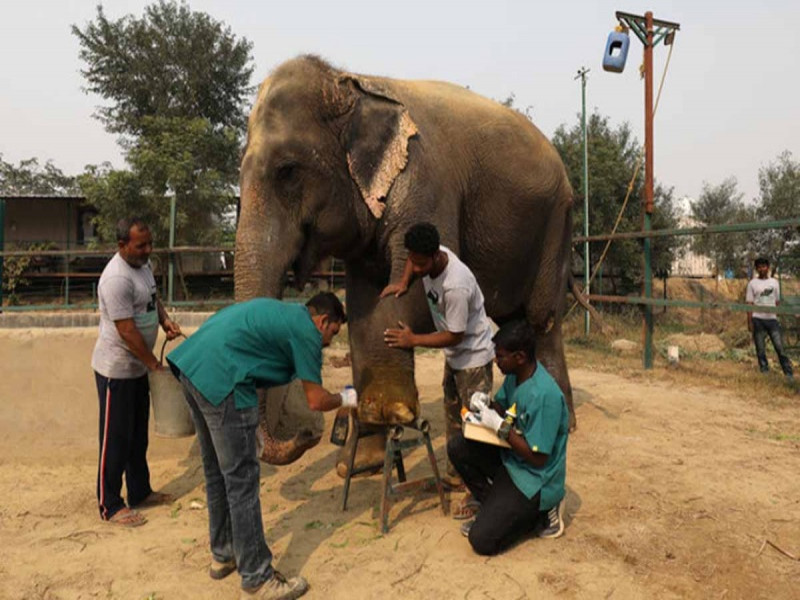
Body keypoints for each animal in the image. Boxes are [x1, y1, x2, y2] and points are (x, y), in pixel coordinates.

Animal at [234, 56, 580, 466]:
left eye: (287, 171)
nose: (308, 435)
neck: (351, 84)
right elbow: (363, 307)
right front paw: (364, 455)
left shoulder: (425, 181)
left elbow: (409, 296)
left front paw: (389, 414)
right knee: (513, 319)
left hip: (556, 222)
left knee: (543, 318)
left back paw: (562, 425)